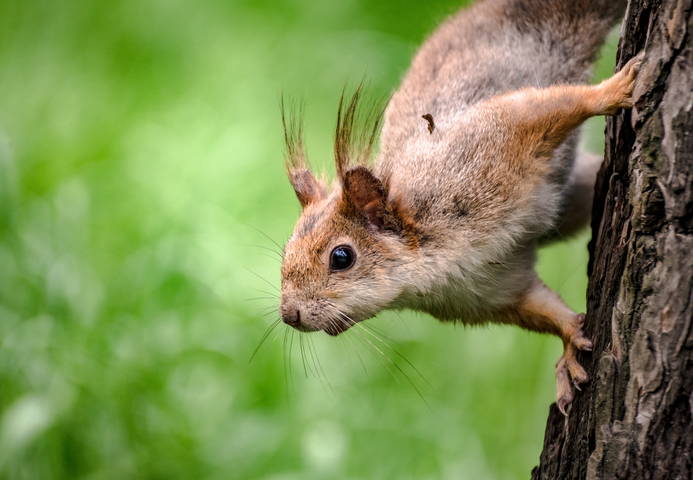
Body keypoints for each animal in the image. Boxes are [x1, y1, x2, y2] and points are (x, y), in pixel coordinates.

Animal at [278, 0, 641, 414]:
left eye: (341, 257)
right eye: (286, 250)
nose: (289, 315)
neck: (431, 264)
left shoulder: (485, 148)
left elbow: (545, 107)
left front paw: (613, 91)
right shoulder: (492, 290)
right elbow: (542, 307)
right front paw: (568, 345)